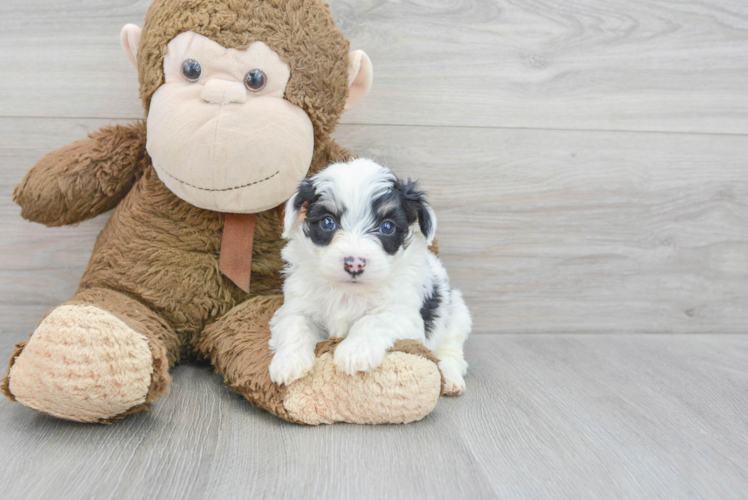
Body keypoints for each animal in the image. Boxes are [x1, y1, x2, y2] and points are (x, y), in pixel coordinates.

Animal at [266, 159, 470, 394]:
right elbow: (295, 324)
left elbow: (374, 320)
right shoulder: (297, 305)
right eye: (327, 222)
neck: (348, 293)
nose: (354, 263)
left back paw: (451, 377)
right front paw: (288, 362)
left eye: (387, 227)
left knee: (450, 350)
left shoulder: (404, 315)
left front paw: (355, 351)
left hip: (457, 315)